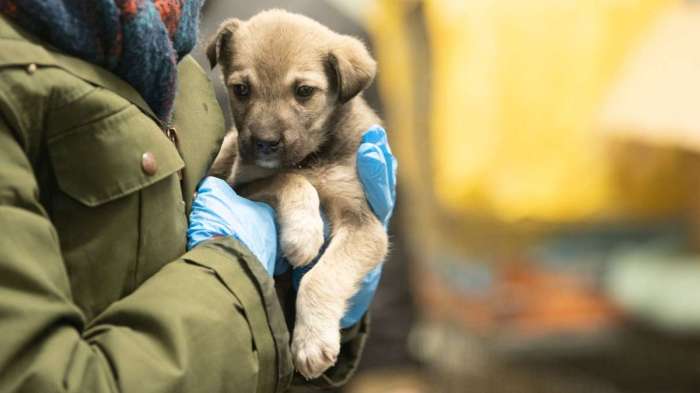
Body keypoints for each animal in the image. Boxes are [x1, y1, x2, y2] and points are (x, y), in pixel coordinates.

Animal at [205, 9, 392, 376]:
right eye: (241, 89)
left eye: (304, 91)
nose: (264, 143)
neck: (309, 159)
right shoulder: (243, 181)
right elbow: (289, 179)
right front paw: (303, 234)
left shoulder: (364, 223)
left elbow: (321, 276)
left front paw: (311, 341)